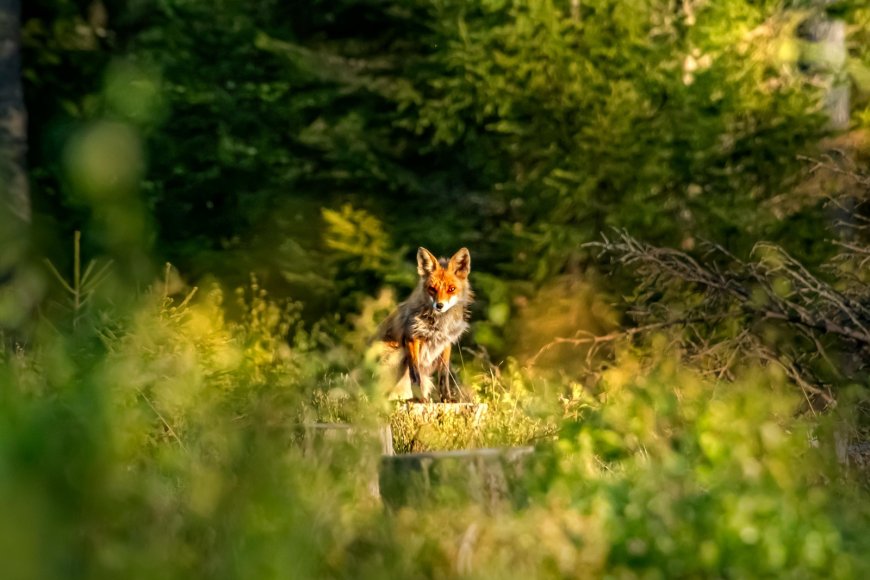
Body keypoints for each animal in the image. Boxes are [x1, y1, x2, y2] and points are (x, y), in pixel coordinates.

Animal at [378, 247, 474, 402]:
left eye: (451, 289)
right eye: (432, 289)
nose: (439, 305)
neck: (439, 325)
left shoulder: (445, 343)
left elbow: (444, 376)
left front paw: (446, 398)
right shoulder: (412, 338)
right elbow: (415, 375)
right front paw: (421, 399)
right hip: (397, 355)